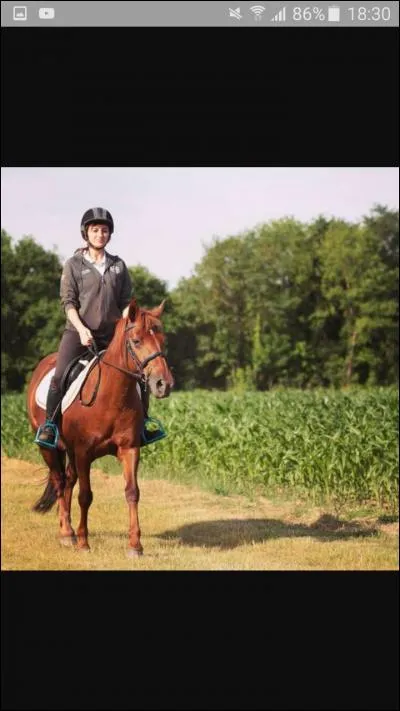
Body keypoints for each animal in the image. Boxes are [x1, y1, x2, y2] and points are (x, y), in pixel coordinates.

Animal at [26, 297, 174, 556]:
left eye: (162, 339)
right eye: (136, 341)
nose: (163, 384)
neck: (110, 397)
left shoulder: (129, 449)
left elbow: (132, 492)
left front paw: (135, 545)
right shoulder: (84, 453)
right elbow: (86, 496)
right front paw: (84, 542)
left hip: (70, 452)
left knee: (68, 481)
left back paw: (69, 529)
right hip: (49, 448)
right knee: (59, 481)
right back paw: (67, 533)